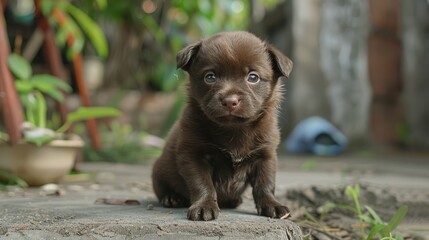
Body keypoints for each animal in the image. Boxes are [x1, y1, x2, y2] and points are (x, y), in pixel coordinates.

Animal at [150, 31, 290, 220]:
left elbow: (265, 184)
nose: (230, 101)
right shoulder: (193, 155)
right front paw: (204, 206)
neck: (234, 129)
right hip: (159, 171)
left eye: (253, 77)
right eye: (210, 77)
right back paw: (172, 198)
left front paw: (272, 205)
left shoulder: (266, 156)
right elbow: (202, 184)